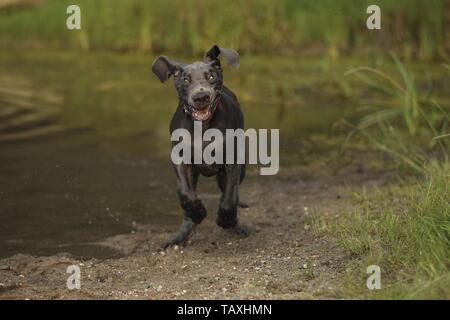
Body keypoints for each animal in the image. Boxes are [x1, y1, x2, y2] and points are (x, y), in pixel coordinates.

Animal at [153, 45, 248, 250]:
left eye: (211, 76)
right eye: (185, 80)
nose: (201, 96)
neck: (202, 127)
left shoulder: (232, 160)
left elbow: (229, 198)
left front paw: (225, 219)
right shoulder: (181, 160)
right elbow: (185, 194)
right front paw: (198, 212)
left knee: (232, 192)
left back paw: (236, 225)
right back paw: (180, 236)